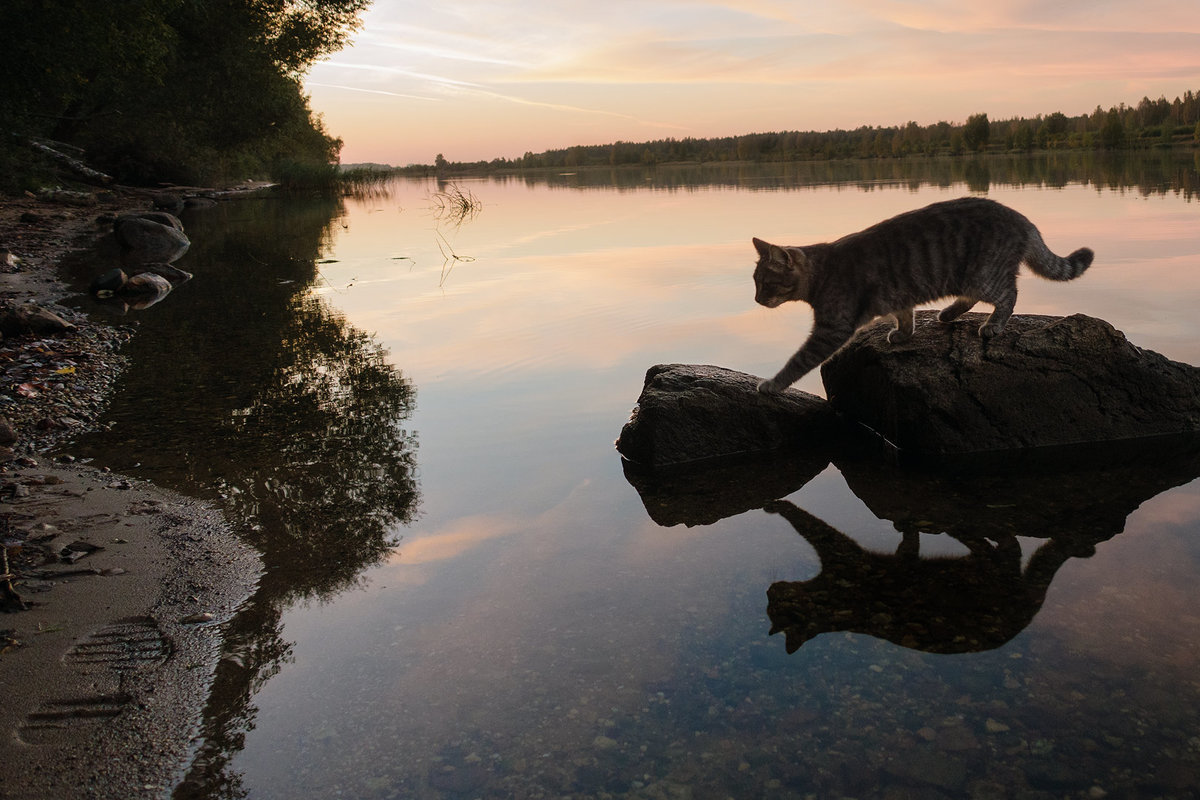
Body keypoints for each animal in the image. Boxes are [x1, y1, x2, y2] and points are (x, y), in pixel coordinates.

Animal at [753, 195, 1094, 393]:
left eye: (765, 283)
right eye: (755, 282)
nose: (756, 299)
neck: (822, 271)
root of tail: (1022, 218)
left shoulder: (831, 328)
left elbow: (798, 360)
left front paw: (773, 383)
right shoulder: (897, 296)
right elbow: (905, 316)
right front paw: (903, 334)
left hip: (984, 274)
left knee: (1008, 295)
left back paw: (994, 325)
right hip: (969, 278)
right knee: (977, 296)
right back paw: (949, 313)